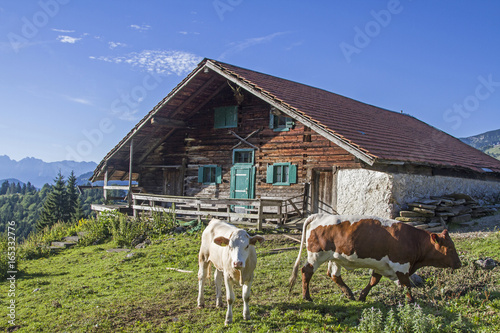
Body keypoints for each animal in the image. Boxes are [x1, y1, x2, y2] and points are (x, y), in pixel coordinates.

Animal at [292, 214, 462, 302]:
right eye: (450, 248)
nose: (459, 264)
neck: (414, 240)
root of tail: (319, 216)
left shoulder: (381, 266)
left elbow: (373, 281)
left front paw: (362, 296)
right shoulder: (401, 265)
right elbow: (407, 284)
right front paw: (411, 301)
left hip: (335, 258)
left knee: (334, 275)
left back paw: (349, 293)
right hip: (316, 255)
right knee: (306, 271)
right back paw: (307, 296)